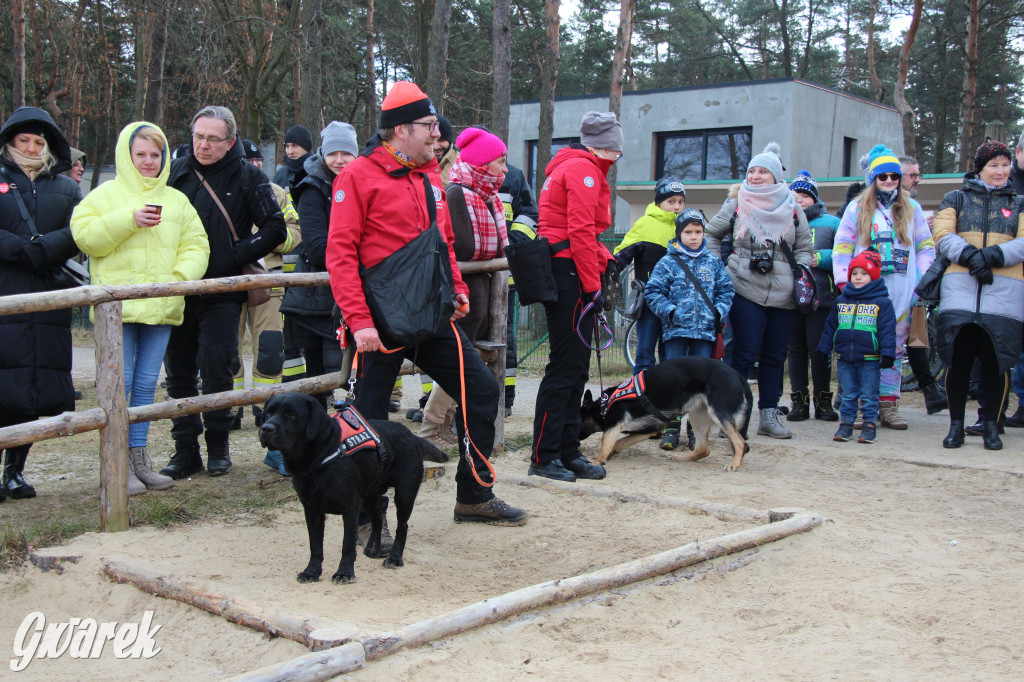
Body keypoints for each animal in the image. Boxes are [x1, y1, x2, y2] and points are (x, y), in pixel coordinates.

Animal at [256, 391, 448, 581]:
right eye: (268, 412)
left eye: (291, 414)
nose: (265, 428)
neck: (320, 457)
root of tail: (412, 436)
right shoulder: (311, 509)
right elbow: (315, 545)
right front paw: (311, 571)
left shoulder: (350, 508)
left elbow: (347, 545)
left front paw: (344, 572)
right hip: (369, 497)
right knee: (378, 517)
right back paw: (373, 548)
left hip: (404, 494)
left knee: (402, 526)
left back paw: (394, 557)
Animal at [585, 356, 753, 466]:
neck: (604, 404)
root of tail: (737, 374)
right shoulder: (647, 430)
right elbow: (619, 442)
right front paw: (610, 454)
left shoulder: (614, 426)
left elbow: (605, 445)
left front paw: (597, 462)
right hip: (698, 417)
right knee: (703, 449)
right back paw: (682, 458)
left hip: (719, 414)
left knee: (741, 443)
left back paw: (734, 464)